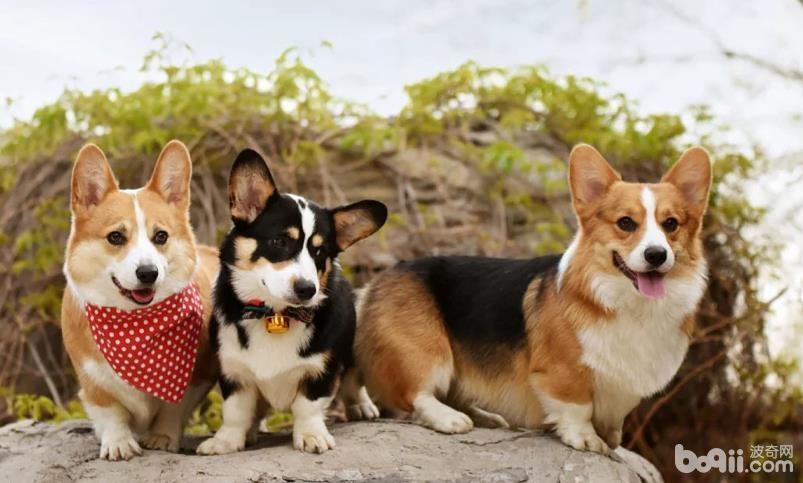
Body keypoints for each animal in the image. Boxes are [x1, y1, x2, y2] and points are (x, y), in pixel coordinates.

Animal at [60, 141, 220, 462]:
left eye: (161, 236)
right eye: (115, 237)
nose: (148, 273)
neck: (135, 323)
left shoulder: (196, 377)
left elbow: (174, 408)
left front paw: (162, 436)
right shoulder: (92, 382)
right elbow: (111, 412)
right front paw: (118, 443)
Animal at [196, 149, 388, 456]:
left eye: (319, 252)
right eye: (280, 241)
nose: (307, 289)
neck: (275, 315)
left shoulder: (322, 371)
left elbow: (307, 406)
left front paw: (311, 436)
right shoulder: (232, 370)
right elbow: (235, 411)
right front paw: (226, 441)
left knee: (353, 378)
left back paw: (361, 405)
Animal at [354, 144, 712, 454]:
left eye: (671, 224)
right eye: (626, 223)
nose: (656, 254)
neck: (628, 304)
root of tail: (374, 283)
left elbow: (615, 418)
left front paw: (610, 437)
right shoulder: (562, 374)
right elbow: (577, 407)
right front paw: (585, 438)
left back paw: (486, 418)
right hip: (426, 350)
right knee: (416, 394)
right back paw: (449, 418)